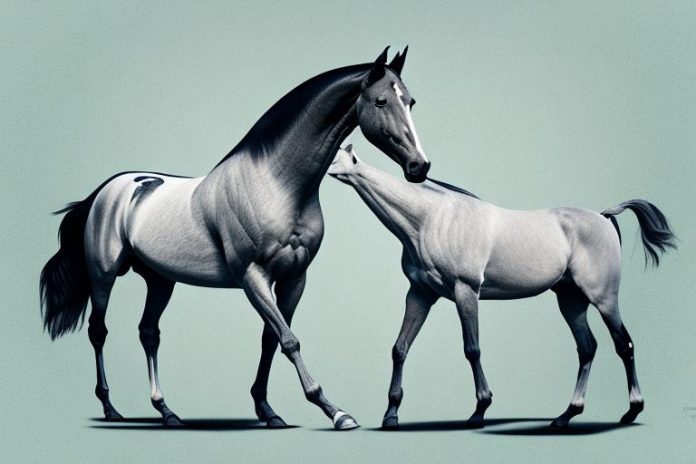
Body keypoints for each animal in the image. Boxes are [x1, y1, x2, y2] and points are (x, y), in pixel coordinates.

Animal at [40, 47, 430, 430]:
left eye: (410, 101)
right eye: (381, 100)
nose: (420, 167)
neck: (276, 184)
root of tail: (105, 191)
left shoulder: (294, 277)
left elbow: (271, 339)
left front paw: (268, 411)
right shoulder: (252, 277)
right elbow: (289, 340)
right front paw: (334, 411)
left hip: (160, 280)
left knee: (149, 332)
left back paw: (167, 412)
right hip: (103, 277)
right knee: (98, 331)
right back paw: (110, 408)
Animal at [328, 145, 676, 429]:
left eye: (337, 155)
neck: (432, 219)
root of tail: (604, 217)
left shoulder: (465, 291)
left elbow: (472, 349)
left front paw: (480, 410)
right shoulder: (421, 294)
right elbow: (400, 348)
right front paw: (391, 415)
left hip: (604, 299)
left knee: (624, 345)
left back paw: (631, 412)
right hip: (571, 301)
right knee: (587, 348)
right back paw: (566, 416)